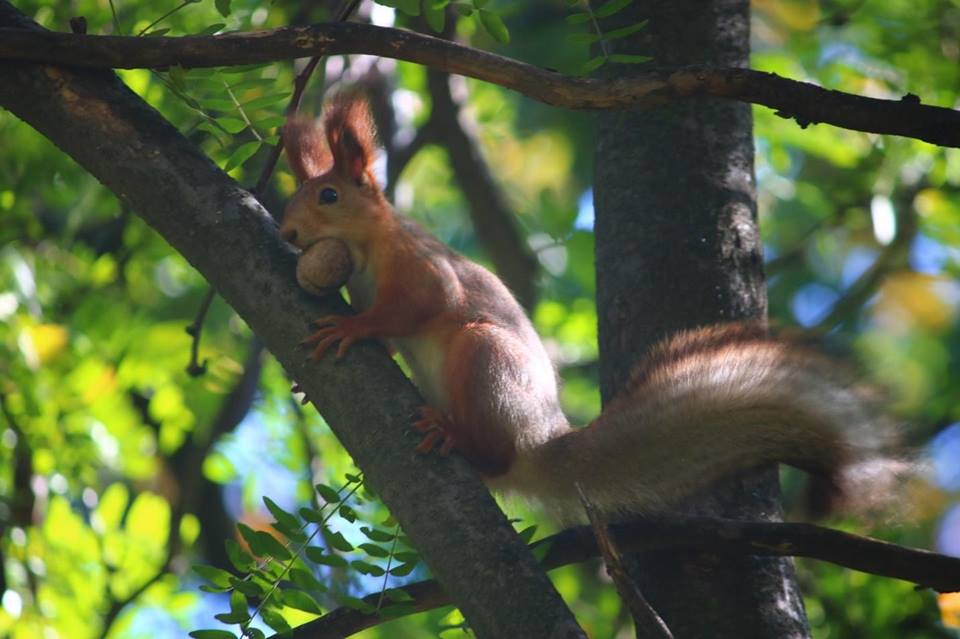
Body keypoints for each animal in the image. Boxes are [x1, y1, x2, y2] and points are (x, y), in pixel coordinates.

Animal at [280, 96, 892, 524]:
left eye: (329, 196)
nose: (287, 233)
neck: (367, 250)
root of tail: (541, 441)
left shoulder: (421, 267)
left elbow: (425, 305)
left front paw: (352, 327)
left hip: (487, 358)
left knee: (496, 455)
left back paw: (460, 438)